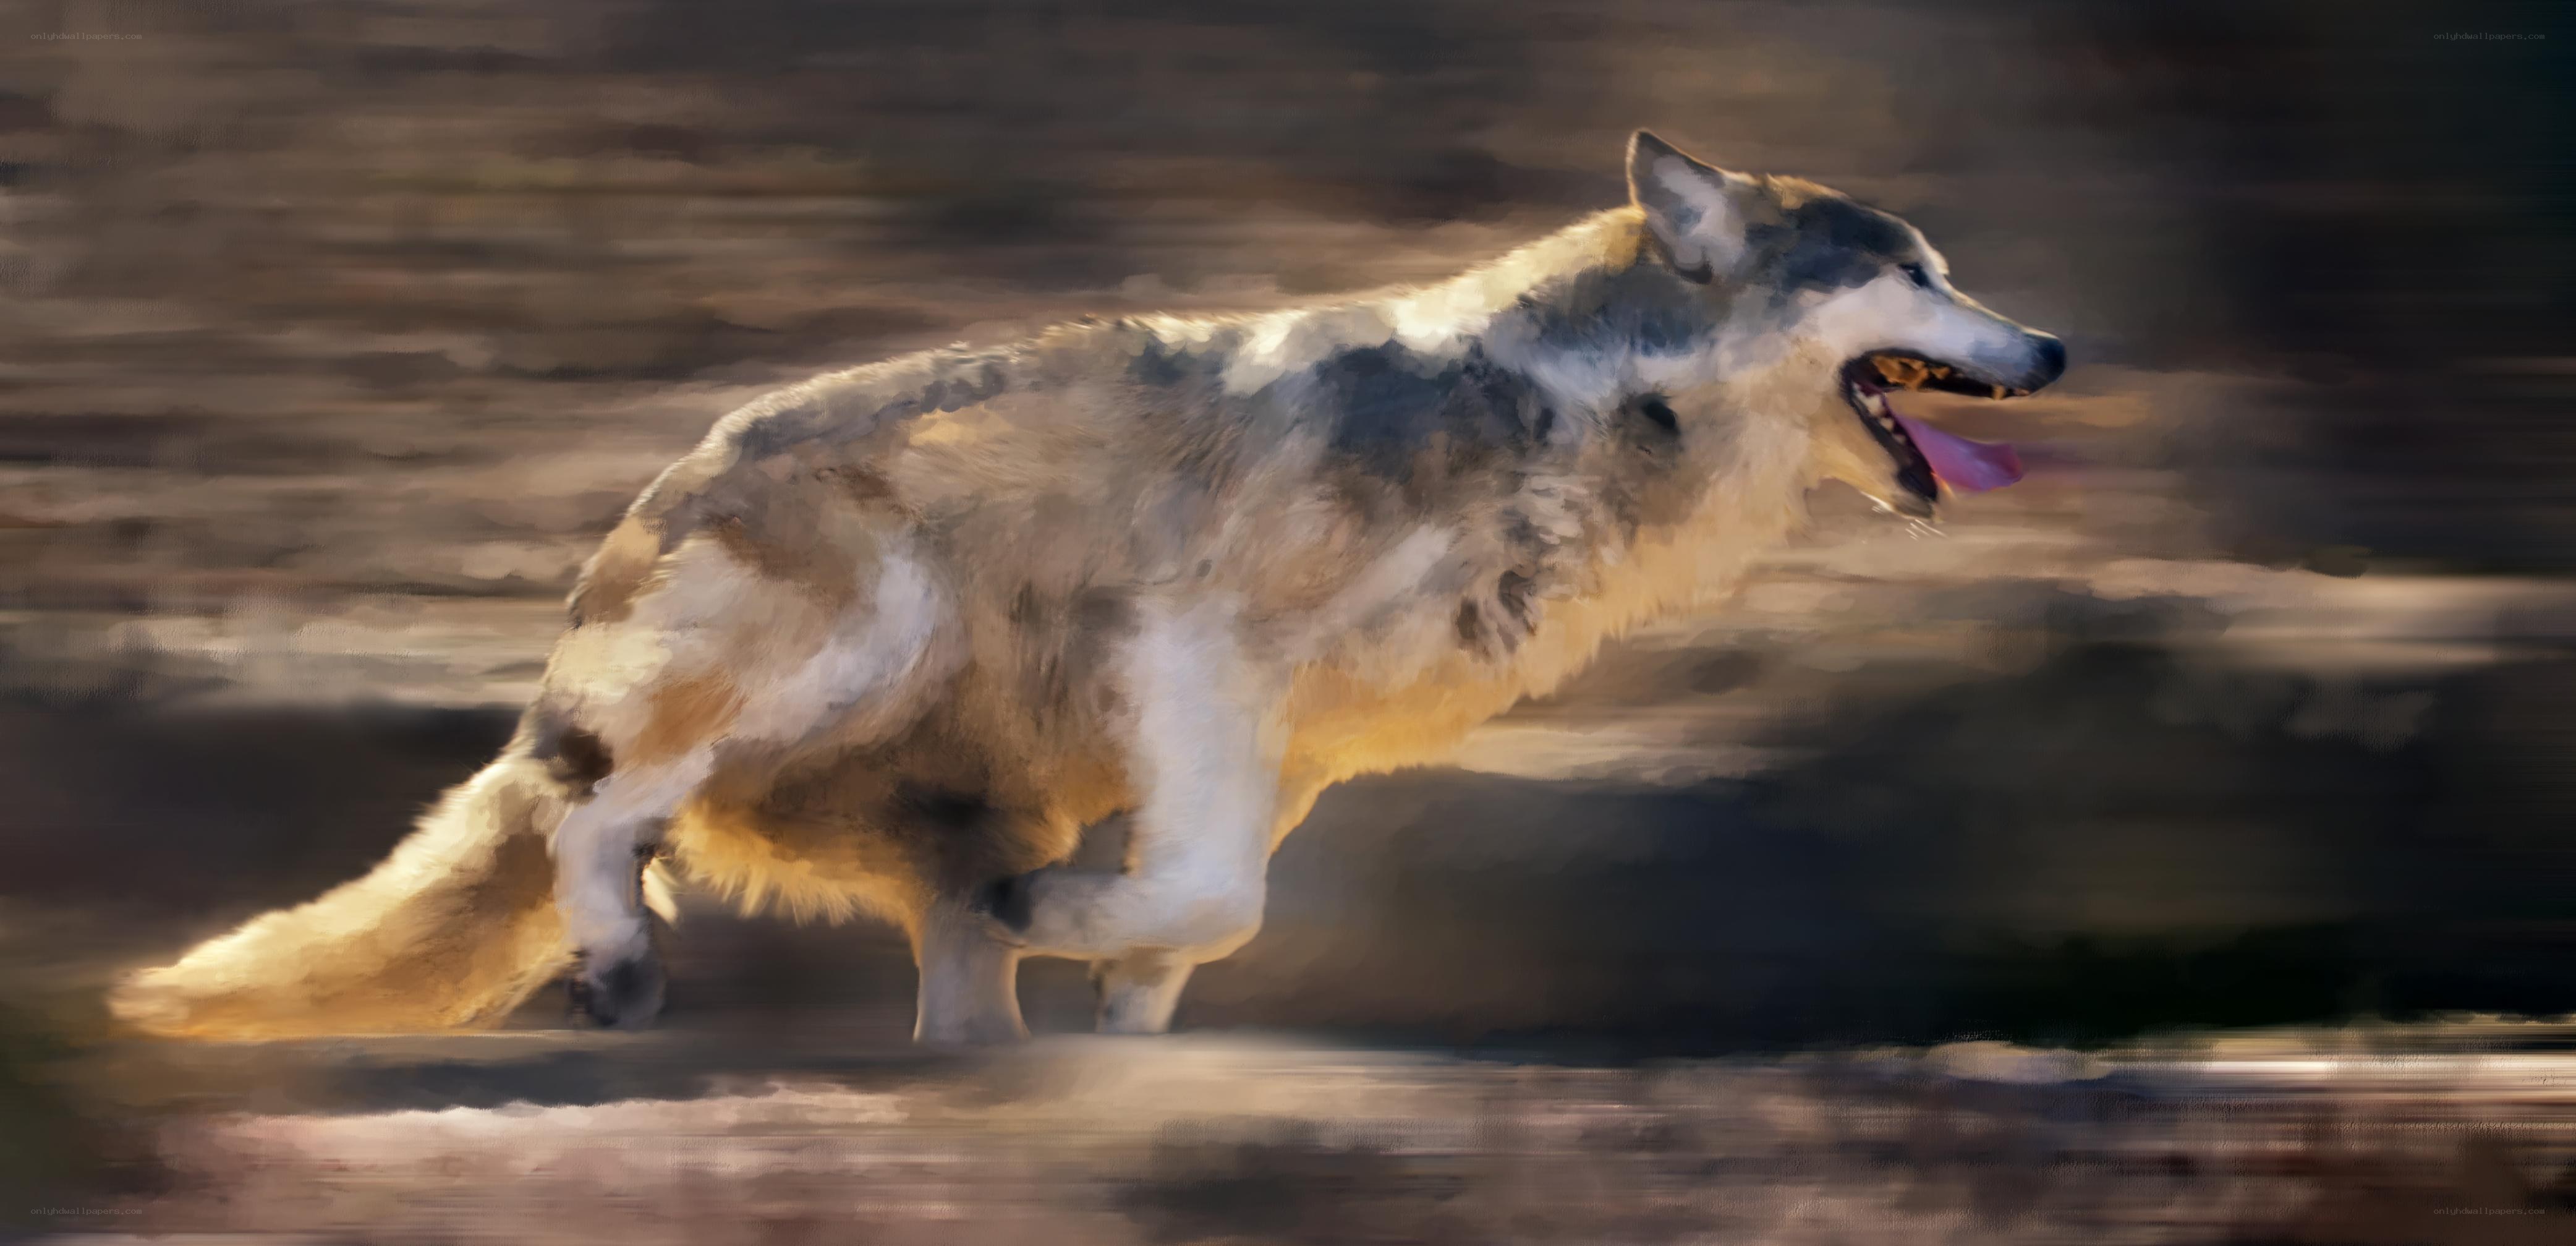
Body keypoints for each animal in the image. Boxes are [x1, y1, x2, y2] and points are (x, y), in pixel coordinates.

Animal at [110, 132, 2063, 1043]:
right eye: (1908, 274)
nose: (2052, 345)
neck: (1578, 416)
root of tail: (655, 489)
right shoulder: (1194, 659)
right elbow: (1202, 896)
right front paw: (1088, 948)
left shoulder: (1282, 752)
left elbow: (1196, 922)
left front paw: (1122, 1035)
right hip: (840, 637)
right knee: (605, 809)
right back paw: (616, 960)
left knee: (924, 950)